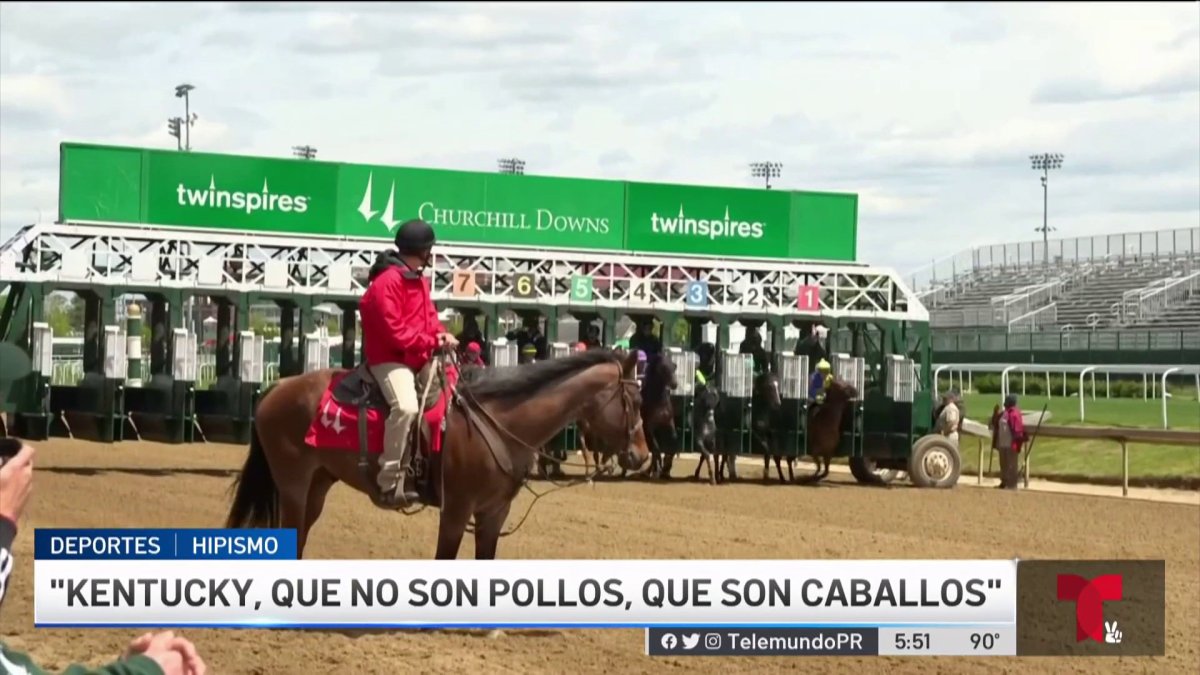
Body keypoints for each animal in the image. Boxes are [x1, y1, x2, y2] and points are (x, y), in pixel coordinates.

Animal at [228, 345, 652, 557]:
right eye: (633, 399)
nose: (643, 455)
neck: (499, 421)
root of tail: (276, 387)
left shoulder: (494, 511)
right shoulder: (457, 508)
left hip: (318, 483)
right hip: (294, 484)